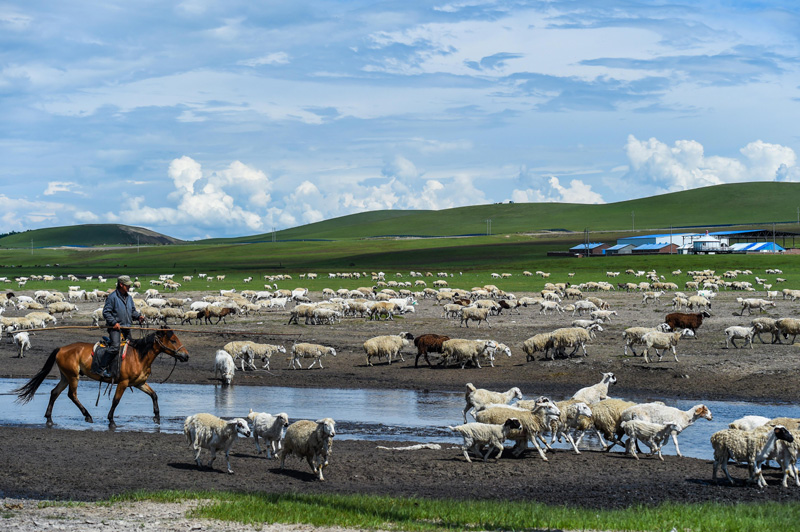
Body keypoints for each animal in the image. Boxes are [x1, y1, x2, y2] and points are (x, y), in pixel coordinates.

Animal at [14, 324, 189, 428]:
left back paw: (49, 418)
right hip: (73, 377)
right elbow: (116, 400)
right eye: (173, 340)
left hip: (65, 376)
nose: (186, 356)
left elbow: (154, 395)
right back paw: (87, 415)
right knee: (72, 395)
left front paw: (157, 417)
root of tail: (62, 348)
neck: (138, 355)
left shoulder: (139, 383)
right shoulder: (123, 383)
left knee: (54, 393)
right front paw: (111, 420)